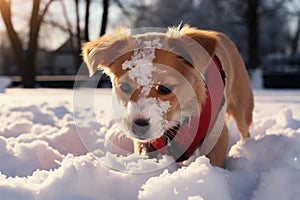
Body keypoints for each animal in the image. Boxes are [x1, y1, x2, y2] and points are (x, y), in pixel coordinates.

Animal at [82, 25, 253, 169]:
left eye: (164, 88)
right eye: (125, 87)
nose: (138, 126)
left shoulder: (216, 135)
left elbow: (215, 162)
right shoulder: (145, 145)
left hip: (242, 107)